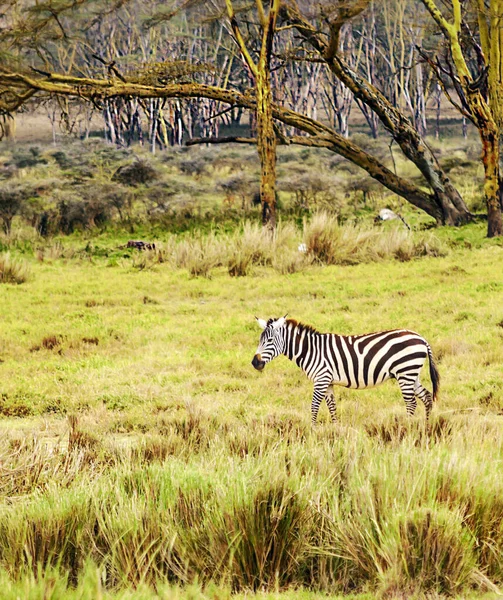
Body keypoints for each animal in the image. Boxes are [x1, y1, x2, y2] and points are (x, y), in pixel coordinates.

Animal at [252, 316, 440, 424]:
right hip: (411, 374)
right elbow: (332, 407)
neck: (310, 350)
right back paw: (426, 427)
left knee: (411, 403)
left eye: (269, 341)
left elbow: (314, 407)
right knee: (426, 397)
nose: (255, 362)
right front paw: (335, 431)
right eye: (260, 340)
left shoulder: (321, 379)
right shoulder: (328, 382)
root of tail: (421, 338)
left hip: (405, 372)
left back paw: (406, 429)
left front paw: (312, 431)